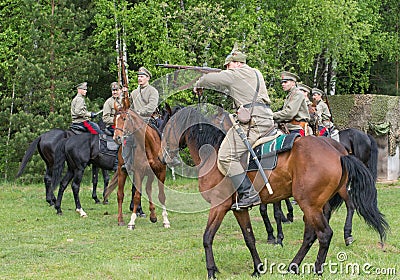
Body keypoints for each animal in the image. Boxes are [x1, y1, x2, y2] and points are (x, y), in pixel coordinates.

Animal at [159, 106, 388, 278]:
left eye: (164, 125)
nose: (162, 157)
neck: (213, 155)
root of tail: (339, 152)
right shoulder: (239, 209)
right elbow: (249, 238)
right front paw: (257, 268)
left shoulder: (219, 206)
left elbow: (207, 238)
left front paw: (211, 271)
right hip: (316, 205)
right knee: (310, 235)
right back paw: (293, 266)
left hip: (310, 204)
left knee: (325, 233)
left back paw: (317, 268)